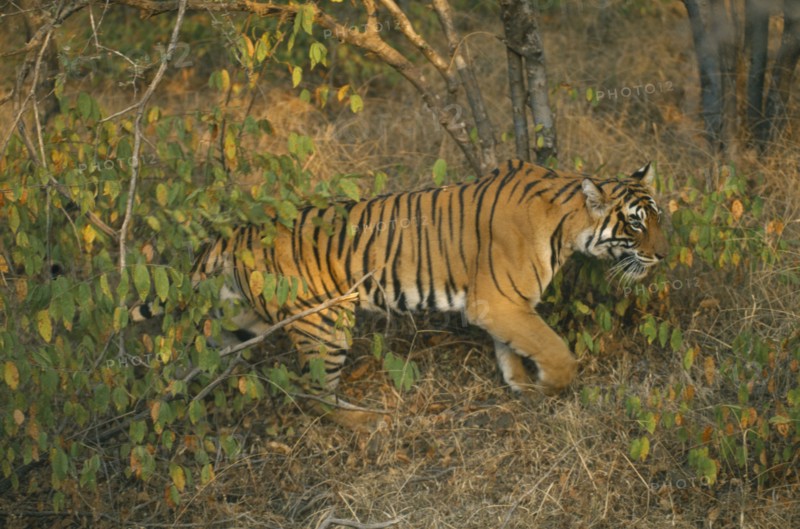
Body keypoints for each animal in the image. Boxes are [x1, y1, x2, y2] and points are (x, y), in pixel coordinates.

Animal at [132, 160, 668, 429]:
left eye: (658, 217)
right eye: (636, 224)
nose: (663, 256)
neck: (567, 225)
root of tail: (237, 232)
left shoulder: (505, 307)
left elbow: (511, 349)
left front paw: (519, 383)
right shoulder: (498, 302)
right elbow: (556, 352)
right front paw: (548, 387)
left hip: (239, 321)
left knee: (195, 360)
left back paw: (170, 402)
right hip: (324, 325)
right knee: (313, 393)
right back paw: (369, 422)